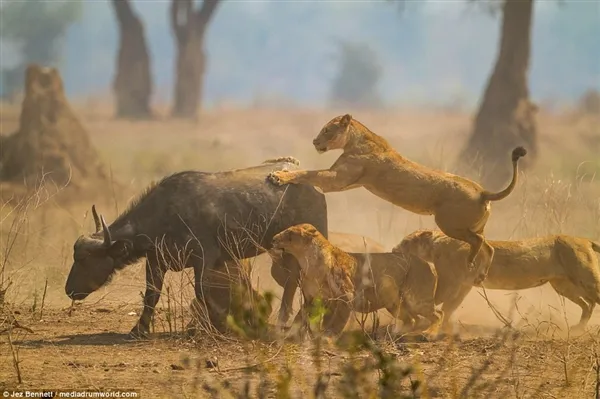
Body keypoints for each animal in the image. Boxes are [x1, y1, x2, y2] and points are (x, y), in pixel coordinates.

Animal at [270, 114, 528, 286]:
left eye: (327, 130)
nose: (315, 142)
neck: (356, 138)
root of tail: (484, 192)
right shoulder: (348, 181)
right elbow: (309, 172)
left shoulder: (336, 180)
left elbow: (308, 173)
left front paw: (279, 176)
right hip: (471, 226)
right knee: (489, 246)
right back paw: (481, 273)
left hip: (448, 223)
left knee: (478, 242)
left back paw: (471, 262)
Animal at [270, 223, 440, 340]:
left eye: (289, 233)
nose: (273, 239)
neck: (308, 261)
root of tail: (428, 263)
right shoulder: (311, 299)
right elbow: (300, 317)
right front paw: (288, 334)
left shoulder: (346, 296)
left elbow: (336, 321)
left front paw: (327, 337)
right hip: (394, 302)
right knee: (413, 319)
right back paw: (395, 333)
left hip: (416, 299)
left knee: (437, 314)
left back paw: (429, 334)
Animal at [396, 230, 600, 332]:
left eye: (405, 242)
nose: (394, 249)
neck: (436, 244)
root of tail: (585, 240)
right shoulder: (464, 284)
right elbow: (449, 306)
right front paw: (442, 325)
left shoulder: (450, 280)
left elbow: (436, 300)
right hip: (563, 285)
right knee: (587, 304)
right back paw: (578, 327)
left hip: (586, 279)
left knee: (592, 300)